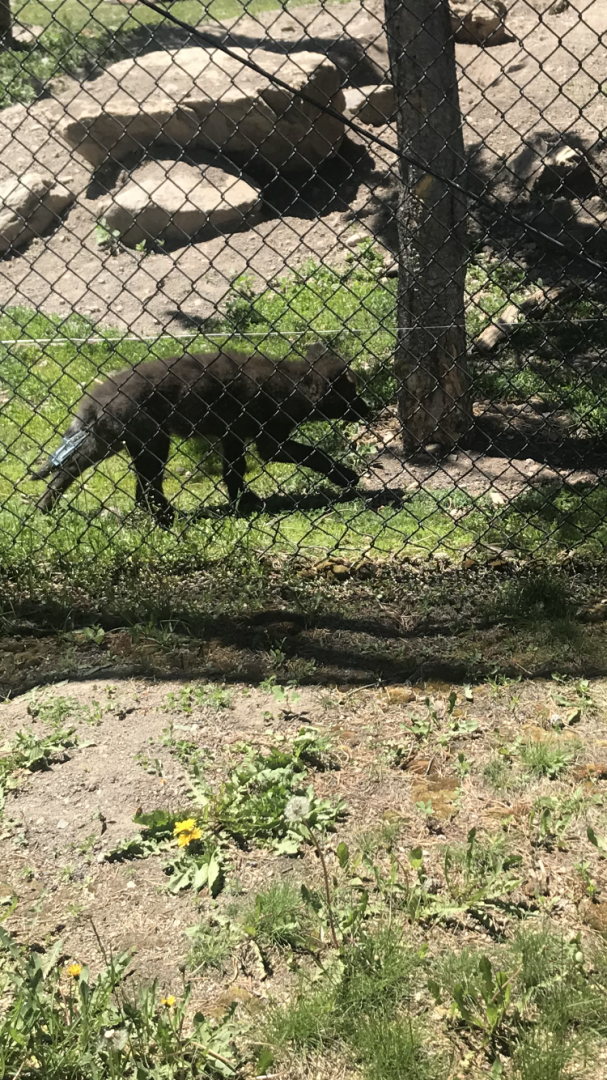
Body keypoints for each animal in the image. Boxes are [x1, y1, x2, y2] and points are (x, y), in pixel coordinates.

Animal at [30, 343, 370, 527]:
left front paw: (244, 502)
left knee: (68, 470)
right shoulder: (269, 442)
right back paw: (169, 518)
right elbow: (315, 453)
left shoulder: (233, 435)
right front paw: (345, 476)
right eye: (351, 393)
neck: (292, 385)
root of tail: (94, 399)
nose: (368, 409)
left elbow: (233, 471)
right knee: (144, 489)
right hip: (153, 441)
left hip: (109, 442)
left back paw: (43, 509)